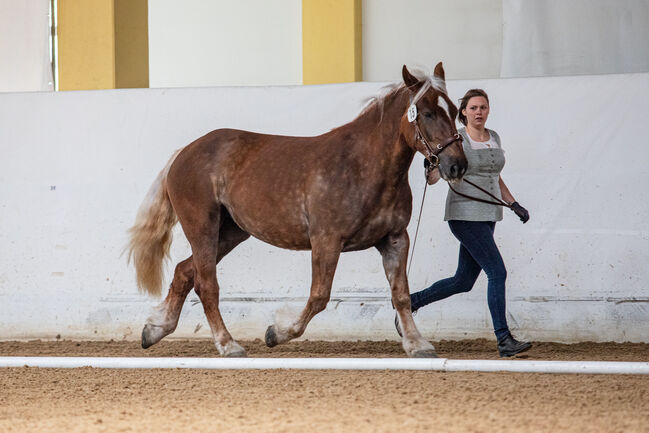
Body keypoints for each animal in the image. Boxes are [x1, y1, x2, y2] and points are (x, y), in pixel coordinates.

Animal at [126, 61, 466, 358]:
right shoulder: (326, 241)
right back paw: (228, 345)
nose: (457, 165)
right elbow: (319, 297)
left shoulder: (395, 239)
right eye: (427, 113)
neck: (362, 166)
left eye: (455, 111)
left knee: (185, 272)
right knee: (206, 284)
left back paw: (155, 329)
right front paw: (276, 333)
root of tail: (184, 152)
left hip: (231, 232)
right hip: (202, 228)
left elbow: (401, 294)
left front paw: (417, 344)